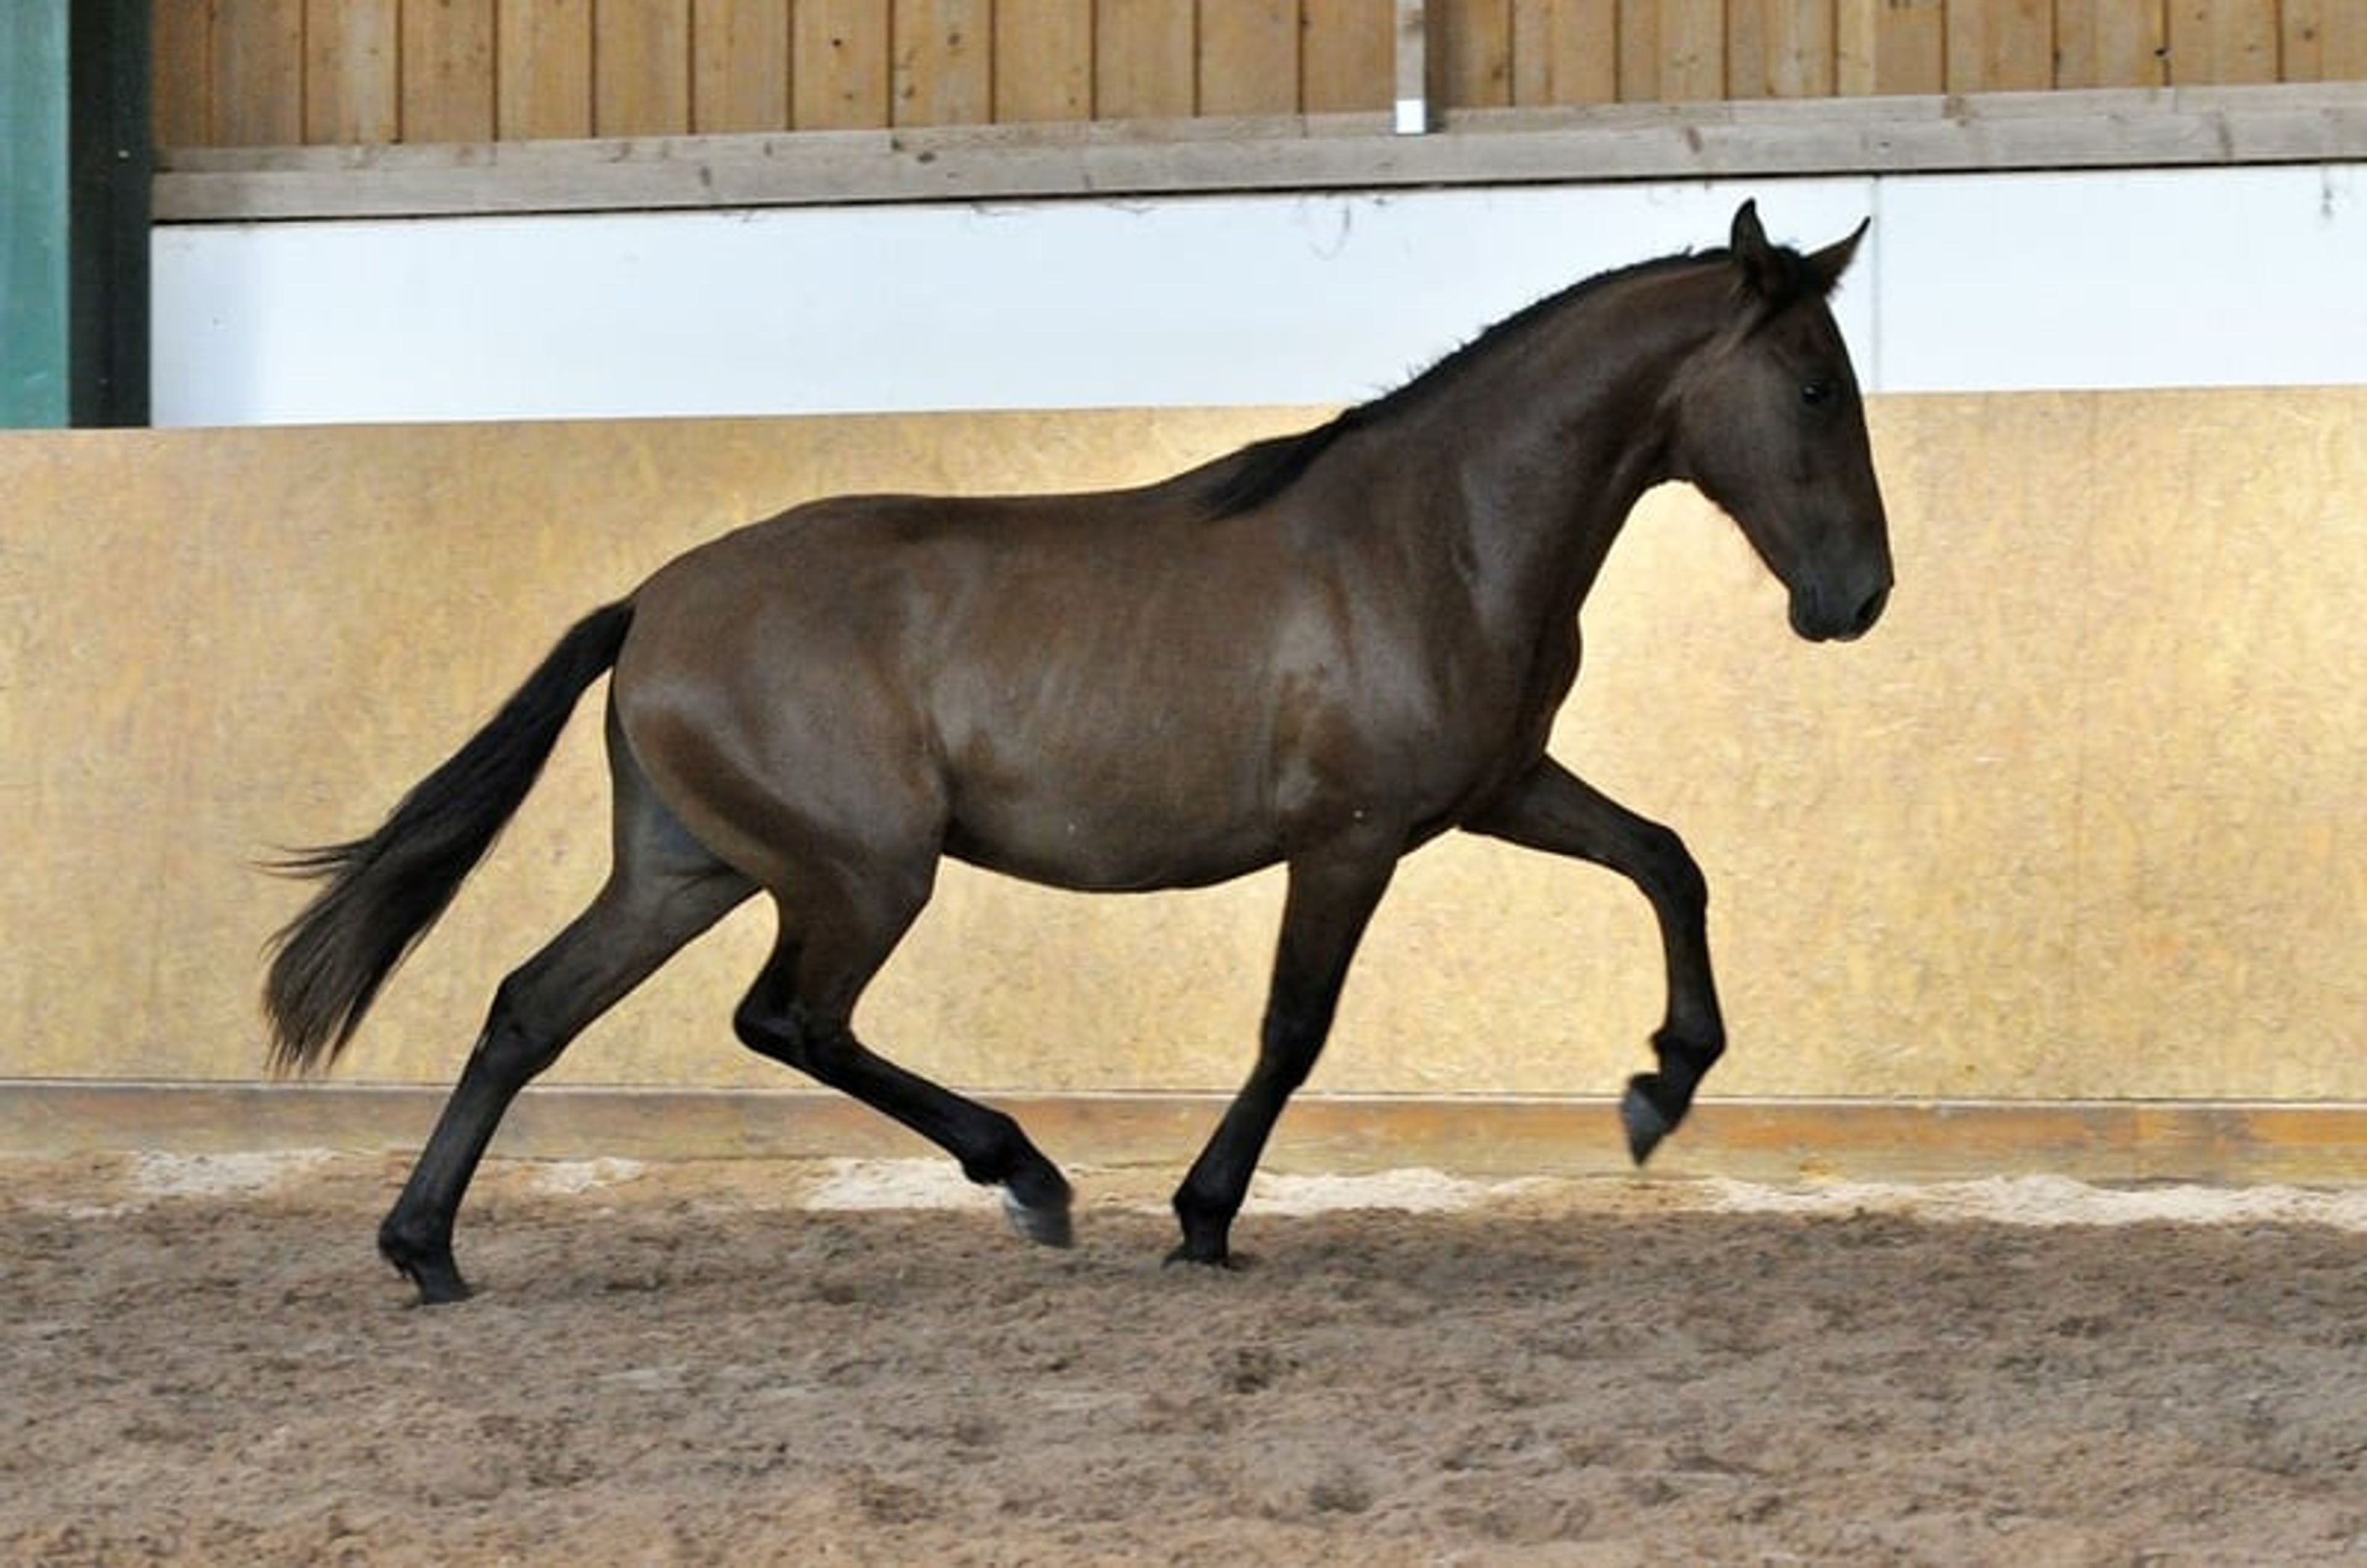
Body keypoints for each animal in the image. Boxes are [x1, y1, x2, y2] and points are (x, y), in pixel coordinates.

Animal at [264, 201, 1894, 1305]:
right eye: (1816, 387)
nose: (1857, 598)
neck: (1434, 533)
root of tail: (651, 602)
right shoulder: (1352, 837)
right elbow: (1292, 1029)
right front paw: (1201, 1216)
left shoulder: (1495, 791)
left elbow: (1668, 861)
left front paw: (1658, 1092)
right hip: (859, 874)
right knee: (790, 1020)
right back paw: (1028, 1179)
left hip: (690, 869)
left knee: (529, 1009)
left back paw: (425, 1250)